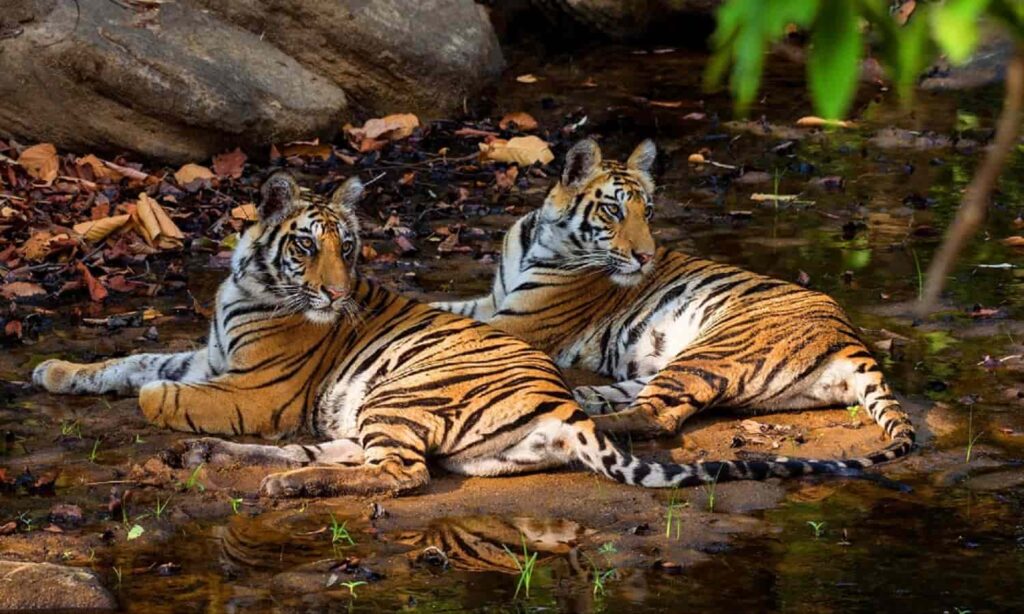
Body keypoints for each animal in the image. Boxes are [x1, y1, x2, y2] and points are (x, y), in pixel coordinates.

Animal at [32, 170, 871, 497]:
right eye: (310, 246)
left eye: (351, 248)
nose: (335, 293)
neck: (247, 284)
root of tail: (559, 401)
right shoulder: (209, 351)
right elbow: (134, 358)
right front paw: (56, 371)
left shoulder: (253, 390)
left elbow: (162, 388)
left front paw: (152, 400)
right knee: (345, 457)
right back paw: (244, 466)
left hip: (398, 396)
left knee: (398, 474)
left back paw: (277, 480)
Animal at [431, 138, 915, 470]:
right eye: (613, 210)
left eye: (647, 212)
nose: (645, 256)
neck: (540, 236)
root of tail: (852, 338)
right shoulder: (492, 301)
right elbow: (441, 308)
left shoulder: (520, 320)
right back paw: (580, 398)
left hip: (713, 350)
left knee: (655, 416)